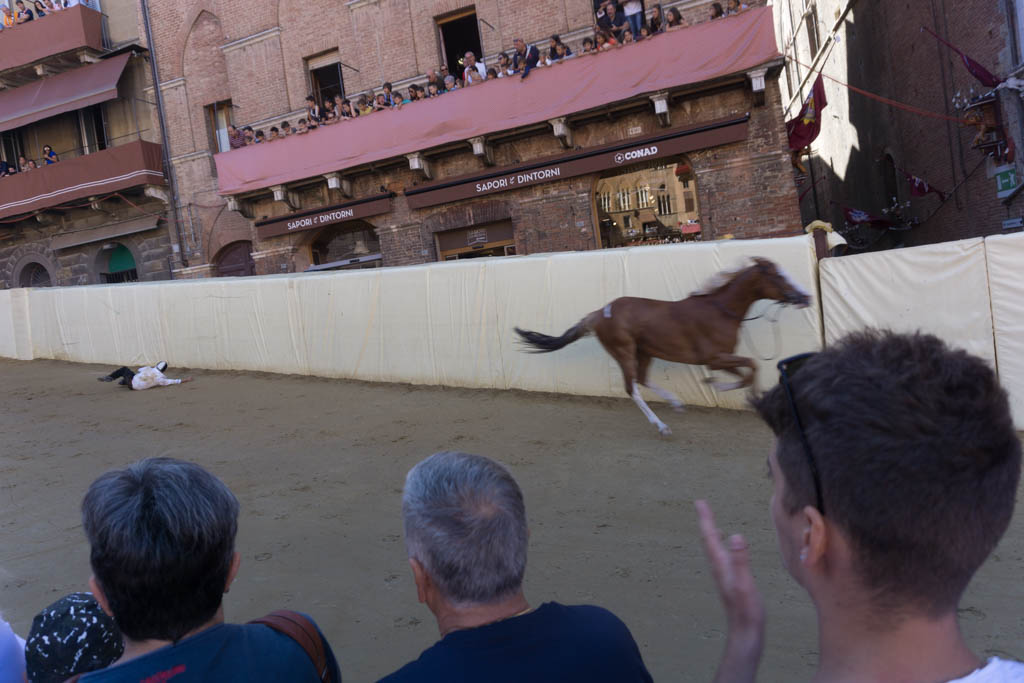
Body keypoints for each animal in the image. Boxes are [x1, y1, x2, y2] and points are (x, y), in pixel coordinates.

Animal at [516, 259, 811, 436]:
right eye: (779, 276)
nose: (805, 297)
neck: (720, 311)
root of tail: (599, 313)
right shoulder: (714, 357)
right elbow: (751, 366)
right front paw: (730, 389)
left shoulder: (721, 358)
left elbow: (747, 372)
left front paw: (722, 386)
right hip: (625, 351)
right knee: (632, 387)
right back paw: (661, 425)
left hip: (645, 351)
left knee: (642, 379)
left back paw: (676, 402)